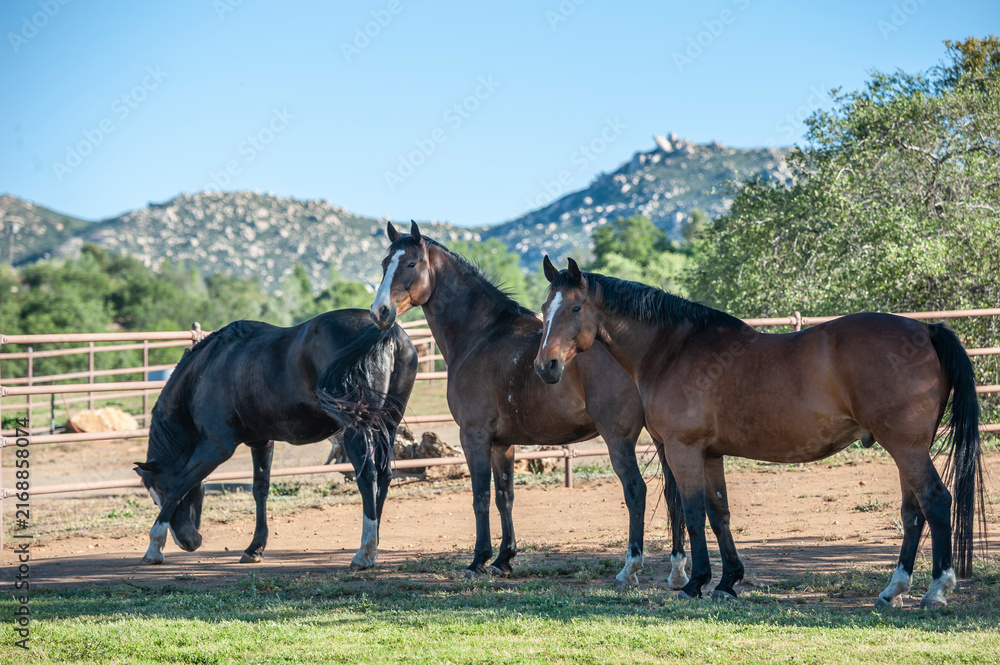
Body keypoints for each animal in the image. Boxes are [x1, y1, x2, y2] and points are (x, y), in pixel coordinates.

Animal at [133, 309, 417, 569]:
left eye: (159, 492)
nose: (188, 542)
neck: (207, 369)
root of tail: (384, 330)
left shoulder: (215, 448)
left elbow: (180, 485)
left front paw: (154, 547)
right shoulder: (261, 442)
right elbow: (260, 489)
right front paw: (255, 548)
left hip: (356, 430)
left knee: (368, 476)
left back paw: (364, 553)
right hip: (387, 426)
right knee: (384, 476)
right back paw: (374, 545)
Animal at [367, 221, 687, 588]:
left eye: (410, 264)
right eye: (384, 264)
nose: (379, 312)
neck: (482, 334)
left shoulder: (474, 435)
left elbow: (480, 496)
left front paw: (478, 561)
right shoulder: (501, 443)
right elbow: (505, 496)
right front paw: (504, 559)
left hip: (618, 438)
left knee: (636, 490)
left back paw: (630, 568)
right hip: (660, 438)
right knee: (674, 495)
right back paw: (678, 571)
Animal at [534, 256, 983, 608]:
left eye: (575, 308)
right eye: (543, 308)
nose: (545, 367)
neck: (673, 350)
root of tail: (927, 330)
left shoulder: (683, 450)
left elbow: (694, 513)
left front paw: (695, 582)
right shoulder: (710, 454)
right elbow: (719, 513)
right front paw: (727, 581)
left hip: (906, 448)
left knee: (935, 502)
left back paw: (936, 590)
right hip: (908, 450)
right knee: (913, 513)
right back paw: (894, 590)